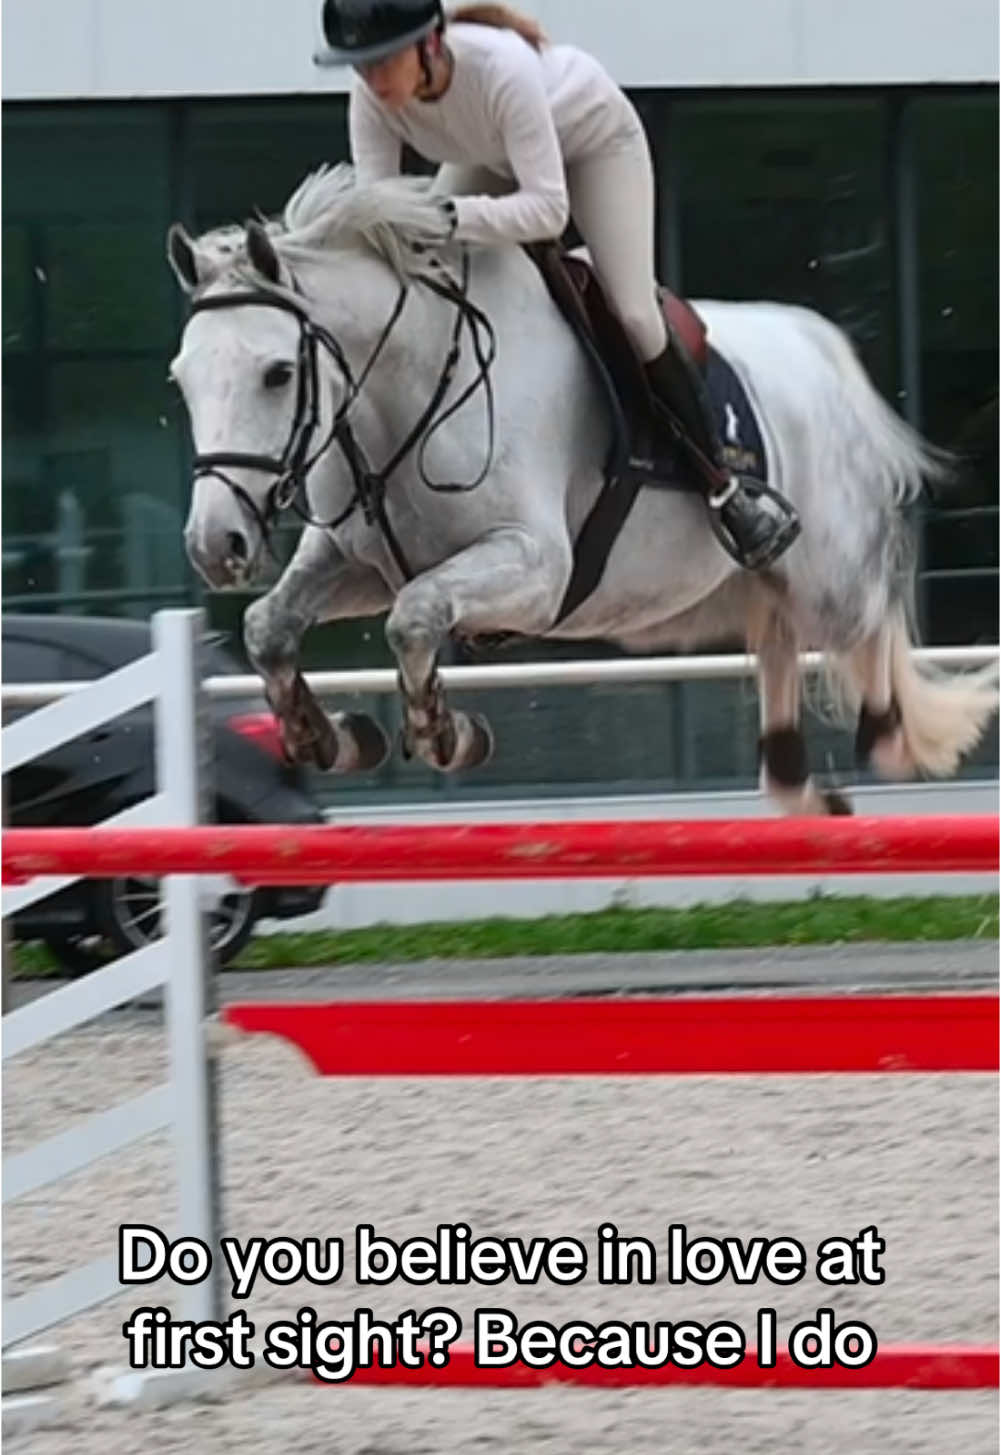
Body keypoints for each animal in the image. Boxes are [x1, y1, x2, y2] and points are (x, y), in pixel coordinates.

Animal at [166, 164, 997, 815]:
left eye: (277, 372)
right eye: (181, 379)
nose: (214, 546)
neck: (410, 385)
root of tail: (820, 349)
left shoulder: (536, 569)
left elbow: (415, 617)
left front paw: (447, 735)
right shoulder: (359, 561)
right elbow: (270, 625)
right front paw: (327, 736)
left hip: (827, 571)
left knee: (869, 632)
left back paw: (892, 739)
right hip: (742, 587)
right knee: (778, 632)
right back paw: (797, 781)